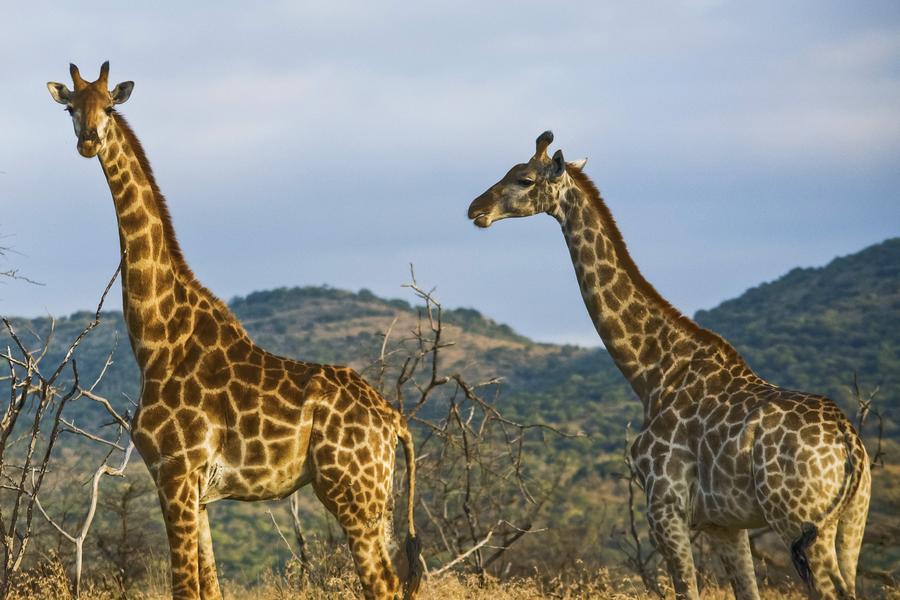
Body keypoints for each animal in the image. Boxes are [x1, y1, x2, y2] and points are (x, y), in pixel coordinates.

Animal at [50, 62, 426, 600]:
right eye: (70, 108)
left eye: (110, 106)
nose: (88, 140)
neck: (156, 340)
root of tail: (394, 420)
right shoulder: (198, 490)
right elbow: (208, 587)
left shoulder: (174, 473)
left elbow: (185, 587)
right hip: (379, 498)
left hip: (350, 489)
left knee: (384, 584)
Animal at [468, 131, 868, 600]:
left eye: (524, 179)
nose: (475, 210)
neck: (652, 373)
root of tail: (850, 445)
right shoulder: (723, 523)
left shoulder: (664, 505)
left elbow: (686, 590)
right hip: (850, 521)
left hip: (798, 518)